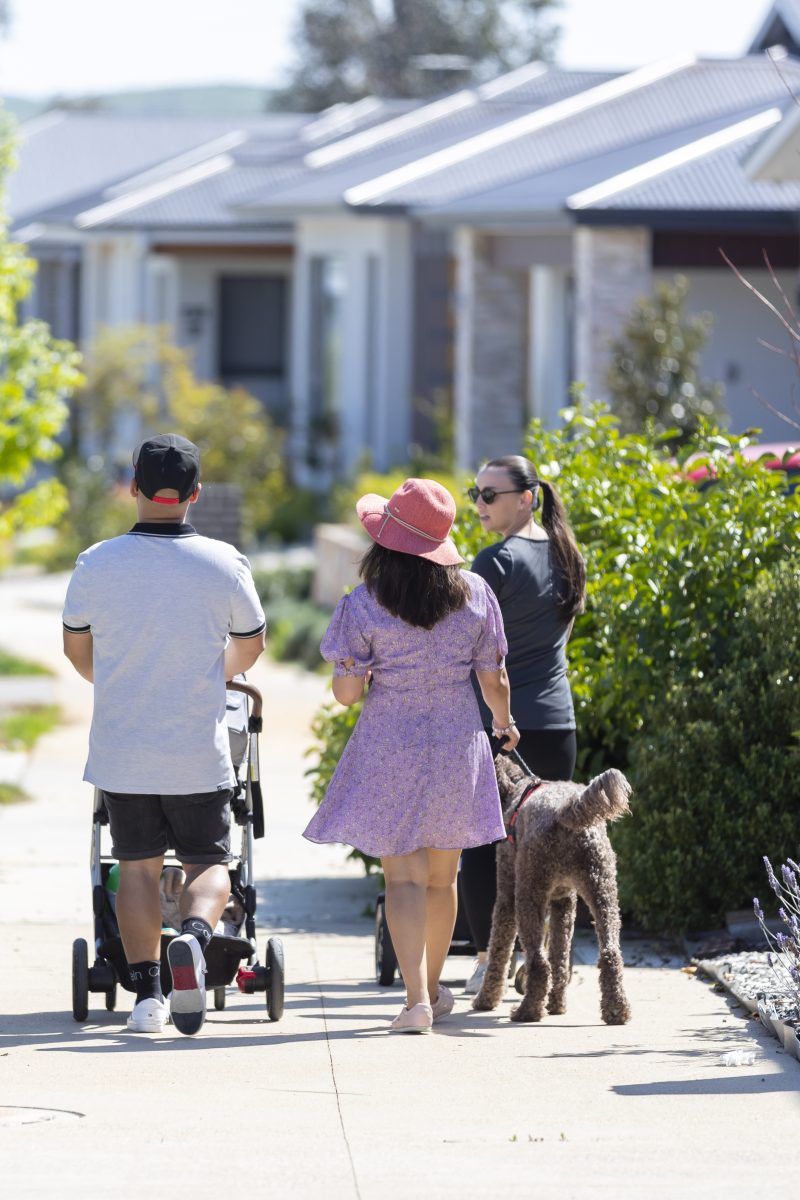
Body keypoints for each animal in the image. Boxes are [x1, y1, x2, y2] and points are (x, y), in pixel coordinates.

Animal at [474, 753, 633, 1027]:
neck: (517, 788)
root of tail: (564, 812)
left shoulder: (506, 897)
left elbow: (499, 950)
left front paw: (486, 999)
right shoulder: (564, 902)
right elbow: (559, 955)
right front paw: (557, 1005)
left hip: (528, 895)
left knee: (539, 962)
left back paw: (527, 1011)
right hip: (603, 891)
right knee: (610, 953)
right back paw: (616, 1010)